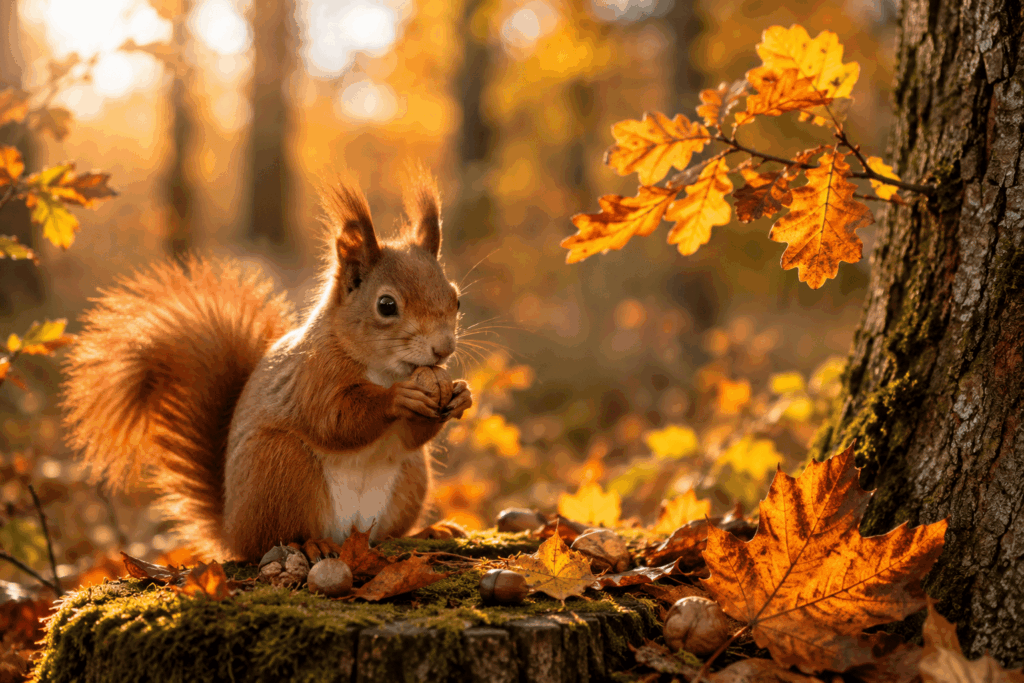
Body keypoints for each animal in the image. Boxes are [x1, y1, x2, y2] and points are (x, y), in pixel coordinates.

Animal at [61, 174, 472, 562]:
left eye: (456, 299)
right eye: (386, 306)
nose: (443, 348)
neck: (384, 370)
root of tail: (231, 531)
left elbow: (411, 437)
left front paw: (462, 395)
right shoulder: (313, 376)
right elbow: (335, 419)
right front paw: (400, 397)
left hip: (409, 478)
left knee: (386, 533)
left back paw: (427, 531)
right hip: (281, 466)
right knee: (273, 539)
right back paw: (311, 545)